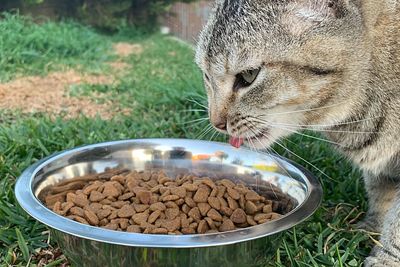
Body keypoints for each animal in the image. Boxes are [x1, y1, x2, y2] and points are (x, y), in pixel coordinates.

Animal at [195, 0, 400, 266]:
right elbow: (379, 191)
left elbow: (396, 222)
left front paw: (386, 255)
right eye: (206, 76)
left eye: (249, 75)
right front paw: (371, 228)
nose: (216, 122)